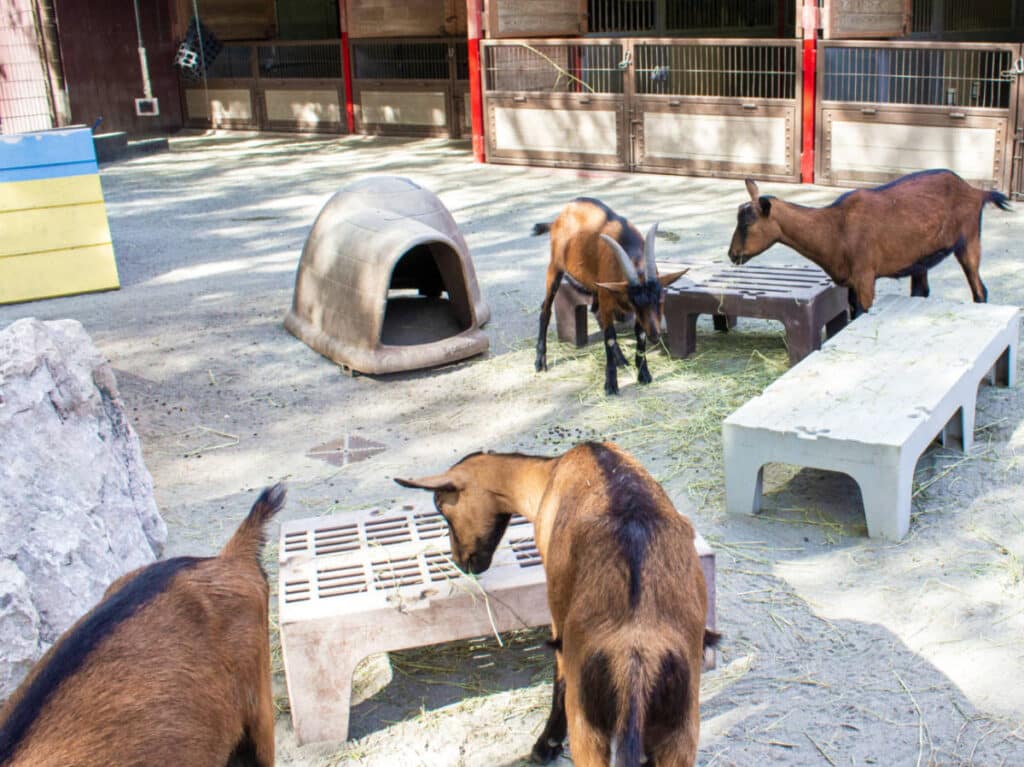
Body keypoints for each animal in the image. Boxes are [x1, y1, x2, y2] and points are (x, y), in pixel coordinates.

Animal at [396, 443, 718, 767]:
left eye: (442, 507)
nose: (462, 562)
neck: (546, 476)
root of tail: (637, 653)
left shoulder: (557, 608)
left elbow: (559, 676)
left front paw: (546, 744)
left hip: (589, 730)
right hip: (680, 730)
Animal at [533, 198, 687, 395]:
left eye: (660, 299)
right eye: (635, 303)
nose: (655, 335)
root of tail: (558, 218)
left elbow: (639, 335)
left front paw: (643, 373)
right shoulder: (609, 299)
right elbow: (610, 337)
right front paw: (611, 384)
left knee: (594, 311)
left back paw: (621, 359)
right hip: (555, 266)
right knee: (545, 309)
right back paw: (540, 361)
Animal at [728, 170, 1011, 316]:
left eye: (747, 223)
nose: (732, 254)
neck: (834, 228)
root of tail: (977, 192)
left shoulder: (865, 277)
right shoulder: (850, 283)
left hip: (969, 240)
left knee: (980, 289)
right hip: (920, 259)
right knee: (921, 290)